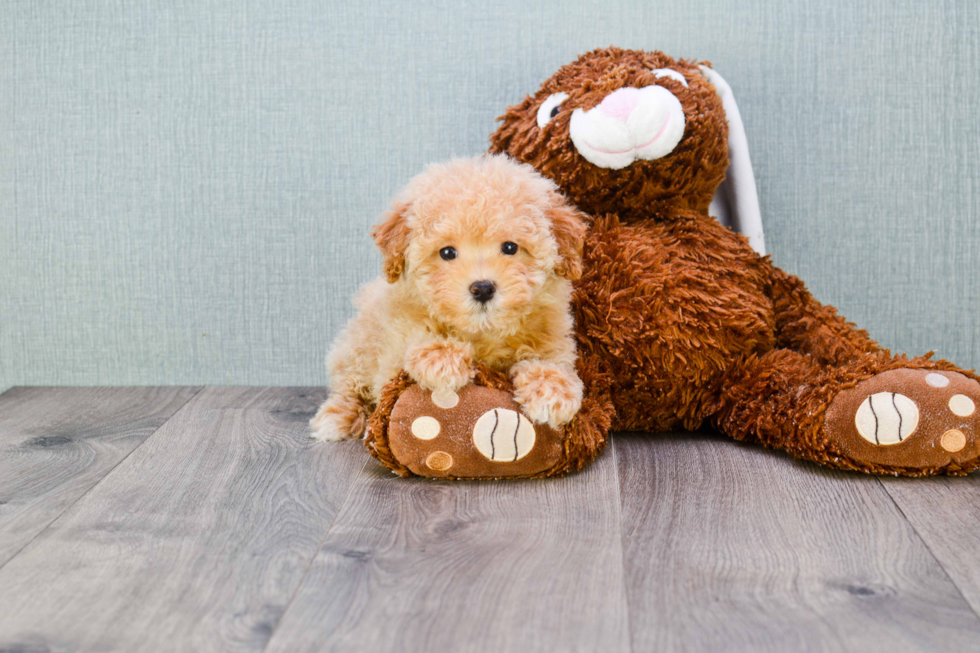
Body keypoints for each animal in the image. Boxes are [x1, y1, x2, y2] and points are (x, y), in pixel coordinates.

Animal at [314, 153, 584, 440]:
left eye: (510, 247)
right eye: (447, 252)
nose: (482, 288)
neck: (483, 333)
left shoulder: (553, 340)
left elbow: (550, 363)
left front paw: (552, 390)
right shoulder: (392, 350)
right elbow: (413, 342)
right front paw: (441, 358)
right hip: (355, 348)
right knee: (349, 384)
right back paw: (339, 415)